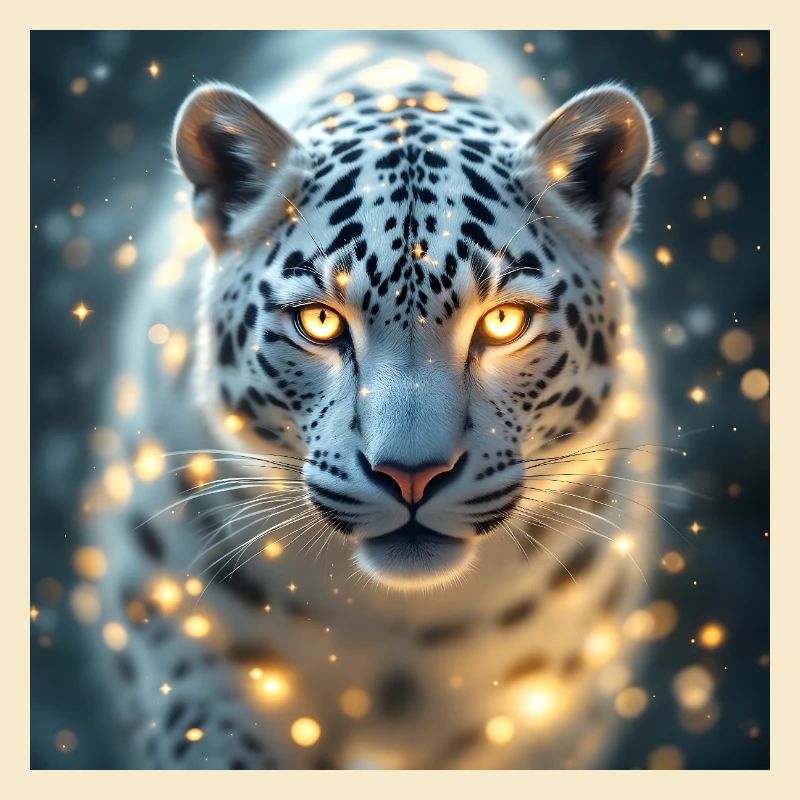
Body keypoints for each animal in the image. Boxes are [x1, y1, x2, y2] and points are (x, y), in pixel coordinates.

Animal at [85, 32, 661, 769]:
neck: (402, 631)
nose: (411, 475)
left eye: (504, 322)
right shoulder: (180, 638)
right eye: (320, 322)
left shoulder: (547, 706)